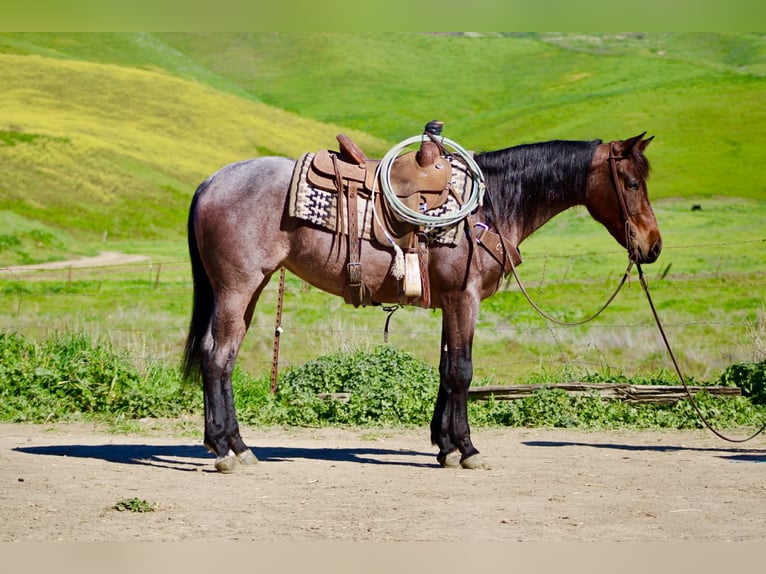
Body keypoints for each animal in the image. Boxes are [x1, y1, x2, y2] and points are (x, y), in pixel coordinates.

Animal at [182, 132, 662, 472]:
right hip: (237, 288)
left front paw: (444, 446)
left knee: (216, 354)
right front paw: (467, 448)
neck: (489, 206)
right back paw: (227, 450)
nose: (653, 246)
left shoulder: (451, 301)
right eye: (632, 182)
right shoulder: (466, 298)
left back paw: (229, 444)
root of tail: (210, 181)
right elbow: (462, 371)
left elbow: (447, 370)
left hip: (249, 289)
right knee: (219, 357)